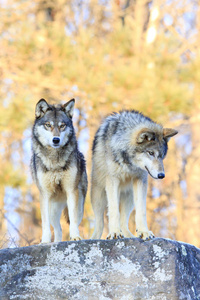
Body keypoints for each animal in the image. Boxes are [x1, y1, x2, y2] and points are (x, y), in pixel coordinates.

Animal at [30, 98, 87, 244]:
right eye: (48, 125)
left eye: (62, 126)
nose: (56, 140)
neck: (55, 160)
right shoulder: (44, 194)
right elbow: (45, 224)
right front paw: (45, 241)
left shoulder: (71, 191)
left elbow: (73, 220)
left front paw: (75, 237)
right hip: (53, 209)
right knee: (58, 229)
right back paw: (55, 242)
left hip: (79, 204)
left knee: (71, 222)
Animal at [91, 109, 177, 239]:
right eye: (151, 153)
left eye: (162, 156)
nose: (161, 175)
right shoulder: (112, 180)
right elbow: (114, 210)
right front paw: (114, 232)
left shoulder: (141, 180)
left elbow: (141, 210)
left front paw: (144, 231)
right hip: (99, 197)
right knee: (100, 223)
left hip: (129, 197)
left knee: (123, 222)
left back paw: (129, 236)